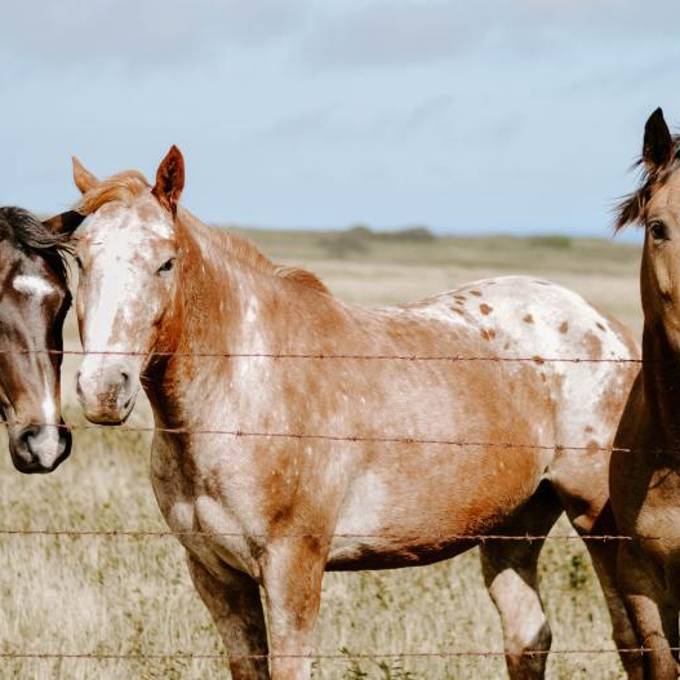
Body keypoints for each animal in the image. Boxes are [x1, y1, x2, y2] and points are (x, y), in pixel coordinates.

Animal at [66, 147, 641, 680]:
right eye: (81, 262)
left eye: (165, 262)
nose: (103, 389)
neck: (244, 389)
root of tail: (606, 326)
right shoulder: (216, 575)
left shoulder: (292, 566)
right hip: (512, 529)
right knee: (529, 637)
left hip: (598, 521)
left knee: (631, 637)